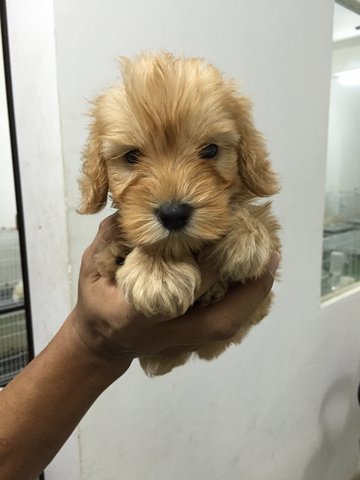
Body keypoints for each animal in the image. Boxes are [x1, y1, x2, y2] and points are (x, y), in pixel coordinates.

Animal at [79, 51, 282, 376]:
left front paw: (245, 236)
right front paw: (157, 271)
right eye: (132, 156)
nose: (173, 213)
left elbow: (257, 217)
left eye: (210, 150)